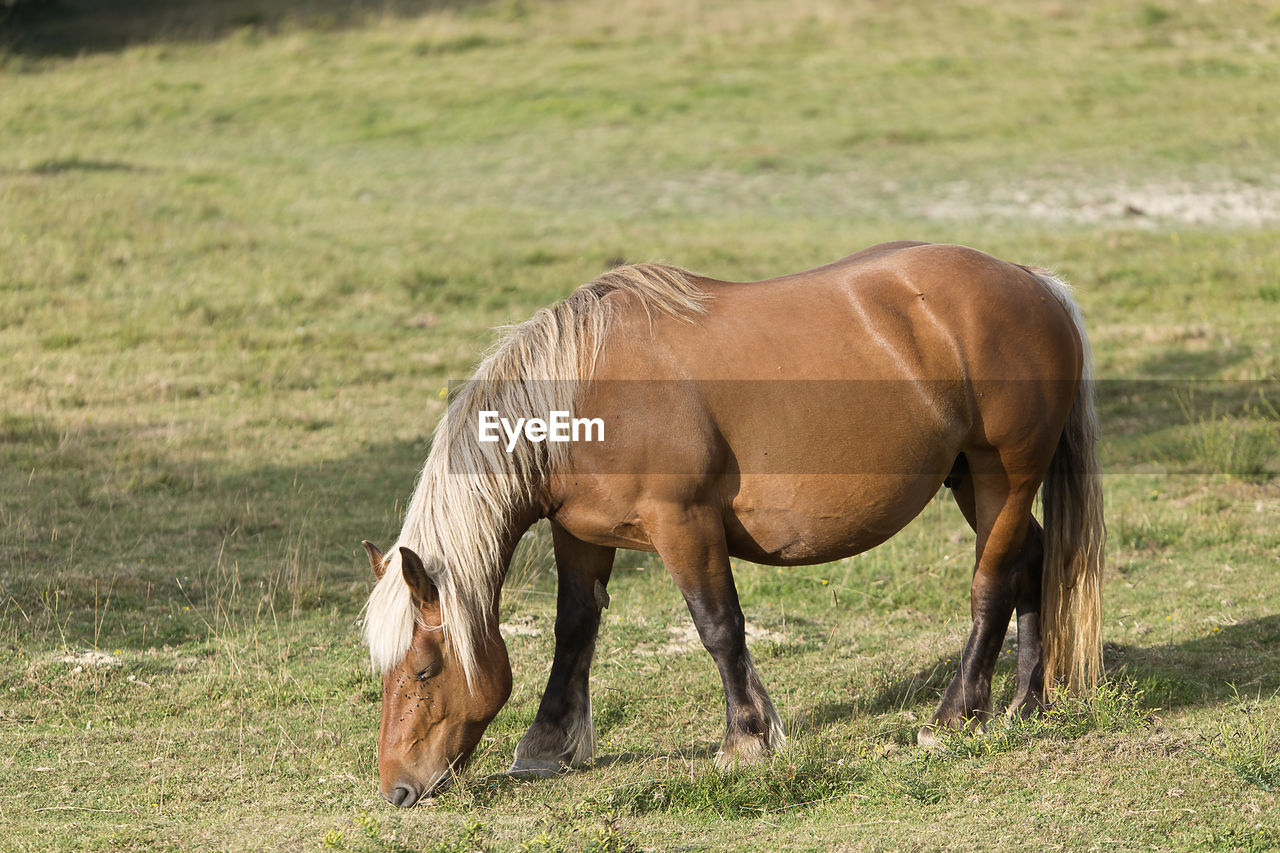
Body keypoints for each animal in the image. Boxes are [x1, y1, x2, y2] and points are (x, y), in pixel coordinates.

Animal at [358, 236, 1100, 804]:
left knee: (992, 583)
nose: (398, 788)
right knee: (1031, 560)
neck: (583, 392)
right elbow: (575, 631)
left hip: (1005, 476)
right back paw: (1028, 700)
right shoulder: (580, 535)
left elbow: (718, 627)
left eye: (422, 670)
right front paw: (547, 742)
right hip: (972, 481)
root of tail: (1033, 282)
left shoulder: (683, 525)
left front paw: (747, 737)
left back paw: (955, 716)